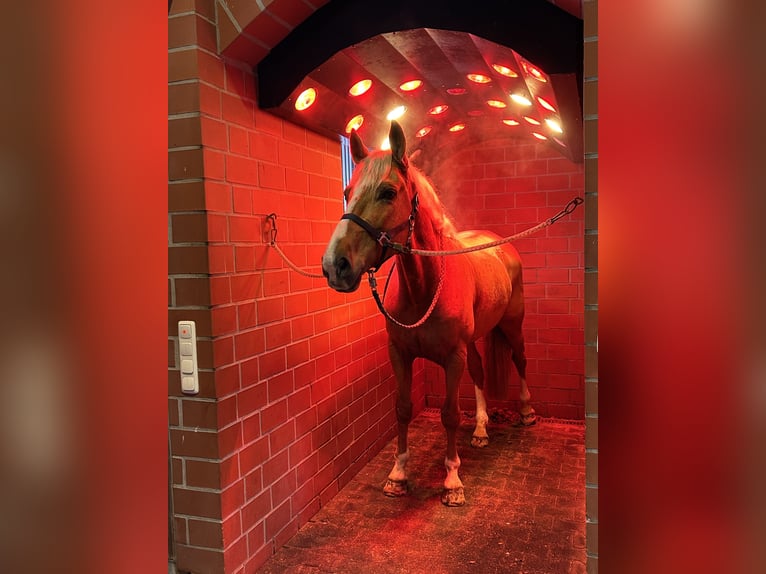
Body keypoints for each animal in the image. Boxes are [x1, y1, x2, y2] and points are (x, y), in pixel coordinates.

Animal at [321, 120, 534, 506]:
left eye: (388, 192)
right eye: (347, 192)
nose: (334, 265)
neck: (425, 287)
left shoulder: (453, 357)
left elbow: (449, 415)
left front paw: (452, 481)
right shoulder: (401, 354)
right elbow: (402, 408)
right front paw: (398, 475)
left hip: (513, 326)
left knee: (520, 359)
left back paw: (526, 413)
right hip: (475, 341)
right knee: (480, 371)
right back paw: (481, 430)